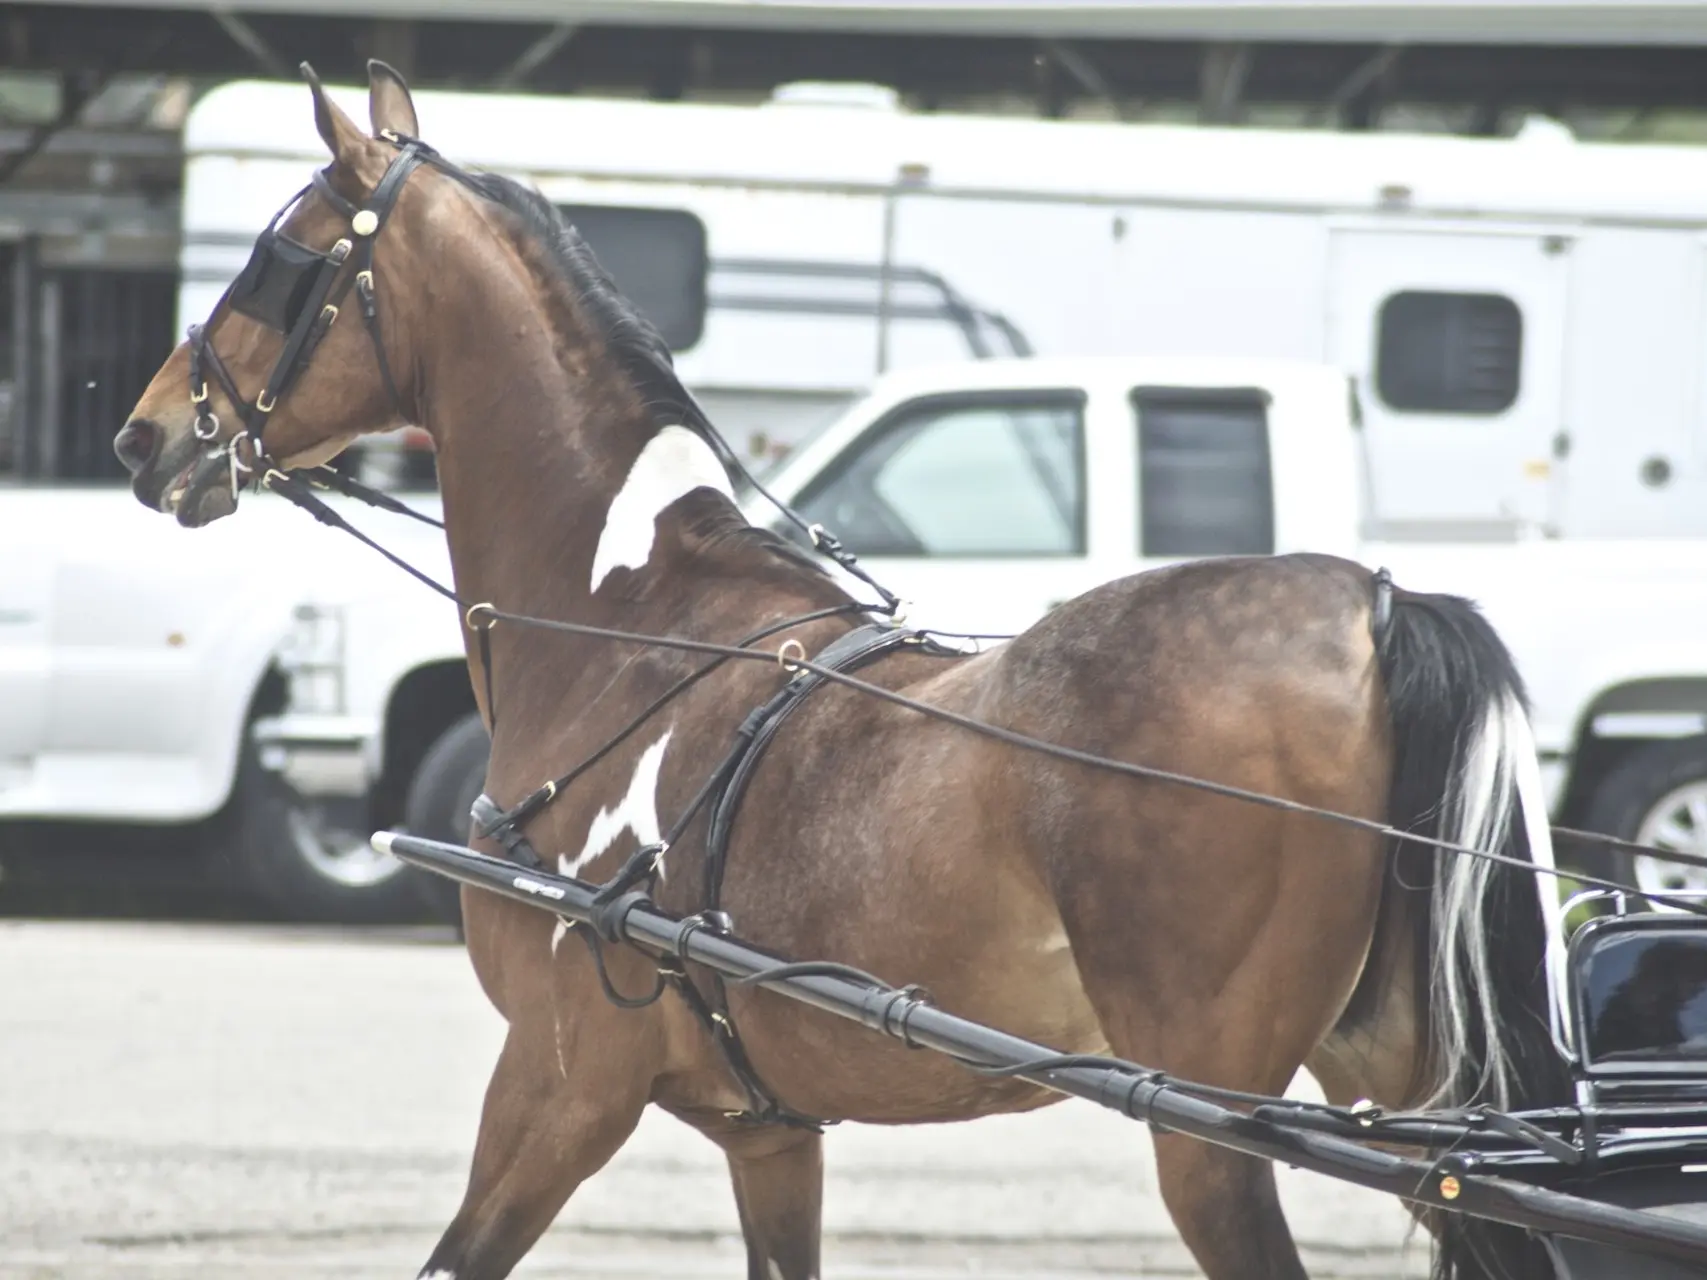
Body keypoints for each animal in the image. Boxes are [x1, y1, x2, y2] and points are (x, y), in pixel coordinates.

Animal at [110, 65, 1570, 1280]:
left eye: (282, 260)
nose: (142, 435)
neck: (633, 621)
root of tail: (1373, 603)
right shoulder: (769, 1133)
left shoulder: (558, 1081)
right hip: (1419, 1098)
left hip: (1210, 1132)